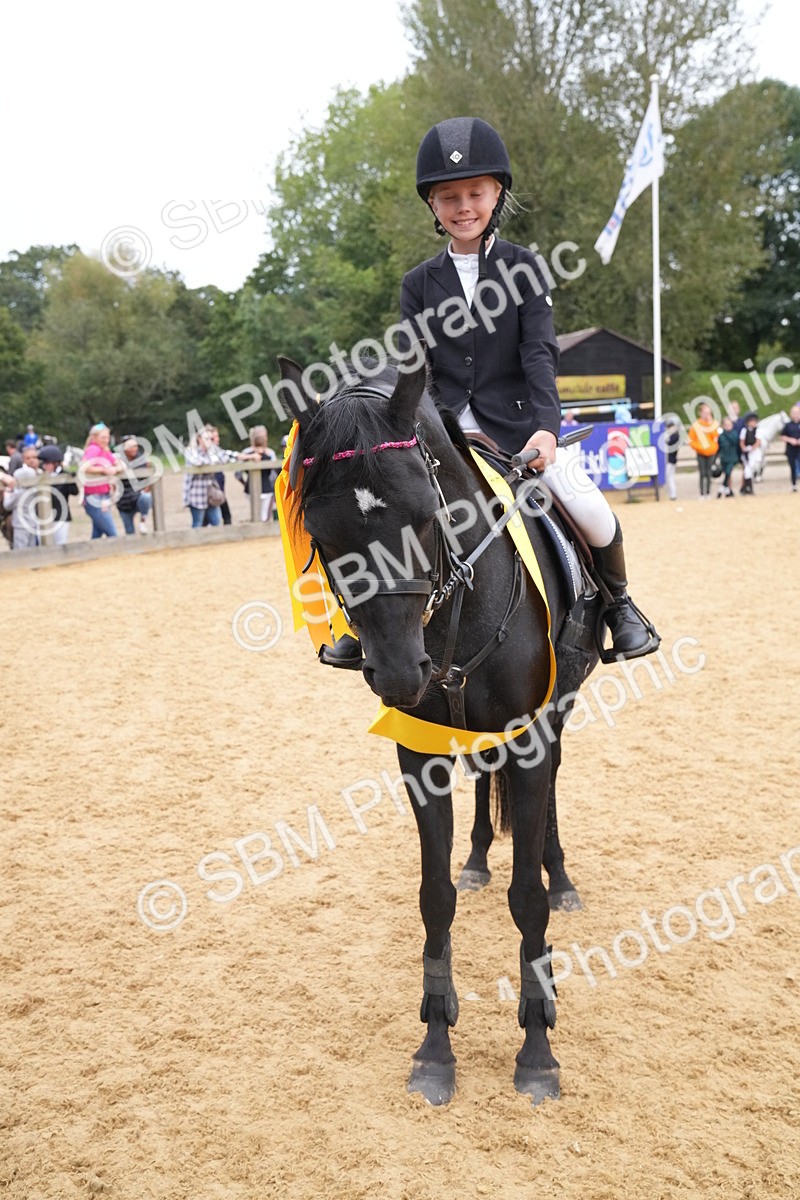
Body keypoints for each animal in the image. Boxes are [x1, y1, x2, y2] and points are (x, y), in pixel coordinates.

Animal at [278, 354, 598, 1106]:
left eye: (428, 517)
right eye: (324, 537)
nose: (399, 673)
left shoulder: (531, 736)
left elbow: (527, 899)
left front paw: (537, 1048)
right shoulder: (419, 755)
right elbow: (435, 898)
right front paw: (434, 1046)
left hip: (561, 710)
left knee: (552, 795)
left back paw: (561, 874)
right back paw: (479, 857)